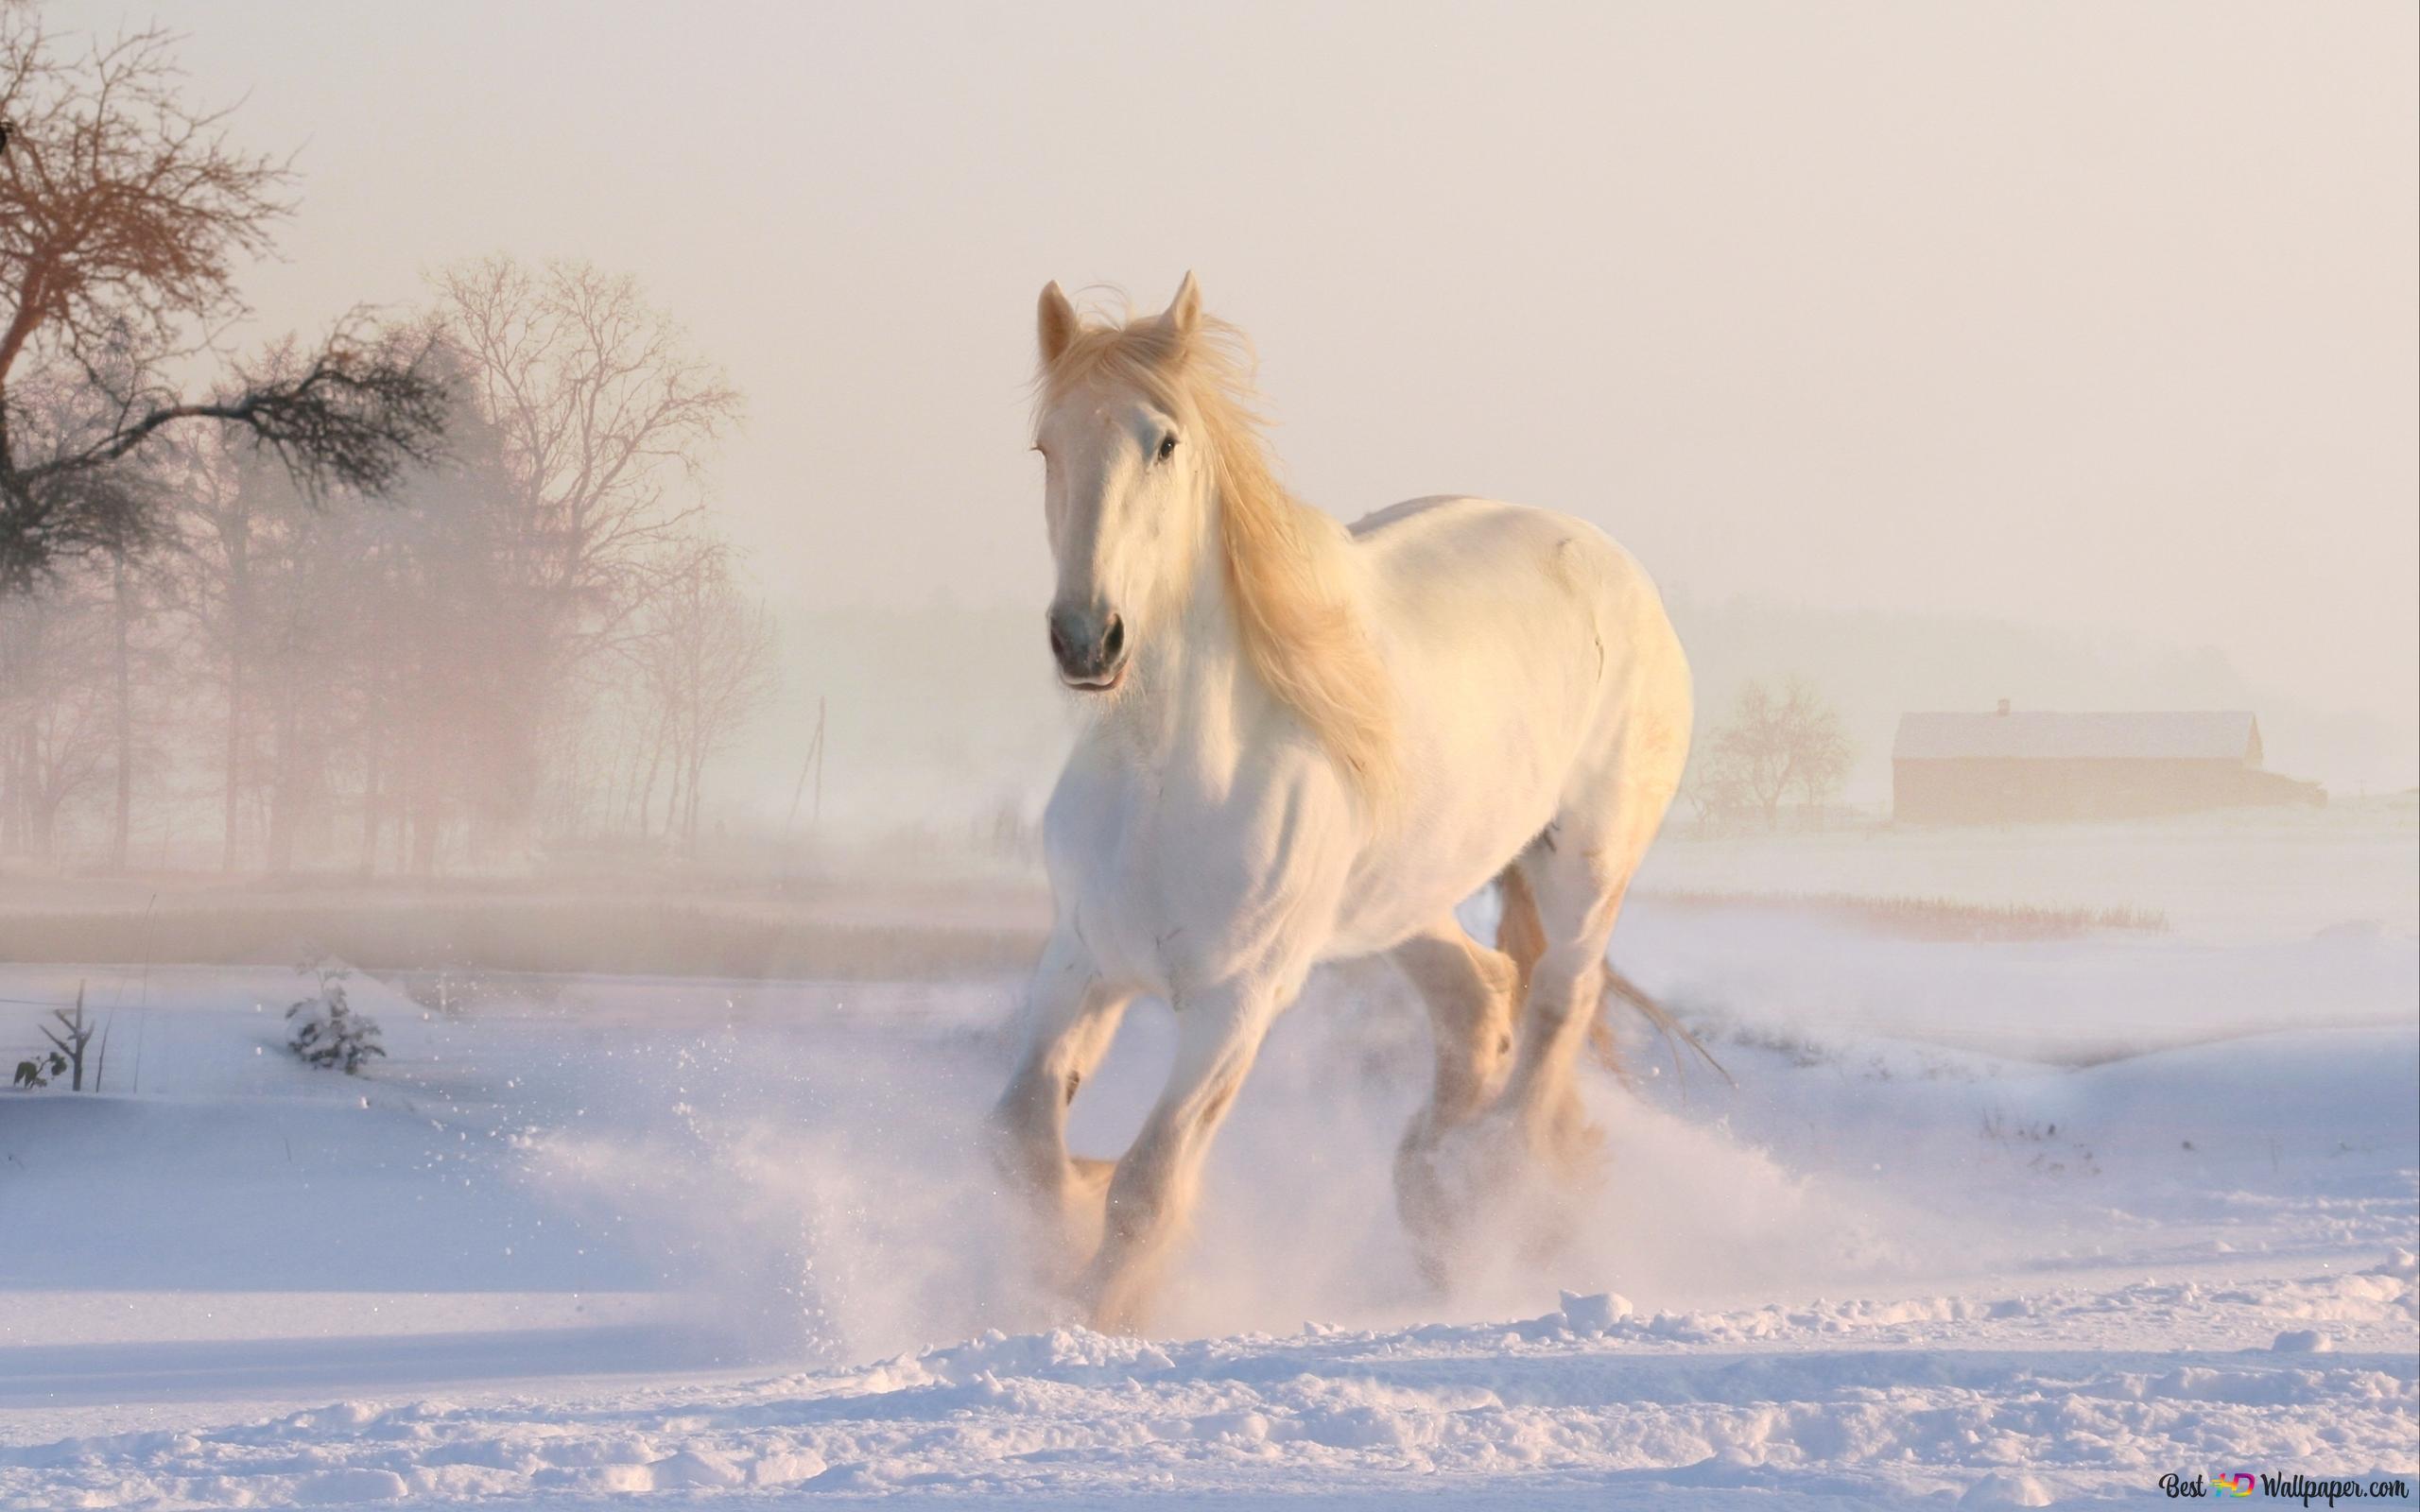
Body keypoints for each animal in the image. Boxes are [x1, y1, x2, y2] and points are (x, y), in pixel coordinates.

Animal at [989, 274, 1693, 1332]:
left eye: (1165, 442)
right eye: (1046, 445)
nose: (1086, 639)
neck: (1167, 784)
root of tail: (1616, 566)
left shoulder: (1237, 1002)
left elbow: (1148, 1187)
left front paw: (1098, 1309)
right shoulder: (1080, 961)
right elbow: (1023, 1143)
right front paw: (1062, 1236)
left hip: (1585, 864)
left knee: (1558, 1005)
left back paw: (1491, 1190)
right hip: (1400, 900)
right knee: (1479, 996)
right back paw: (1435, 1195)